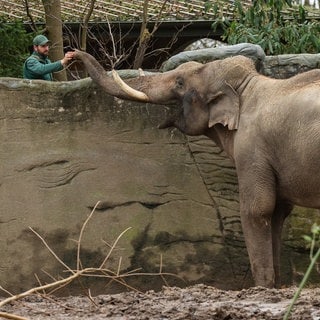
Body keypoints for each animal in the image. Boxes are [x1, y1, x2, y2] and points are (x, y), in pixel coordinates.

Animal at [74, 50, 320, 288]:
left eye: (180, 82)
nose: (72, 54)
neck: (247, 86)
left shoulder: (252, 149)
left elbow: (257, 209)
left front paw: (262, 288)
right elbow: (278, 213)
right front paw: (275, 286)